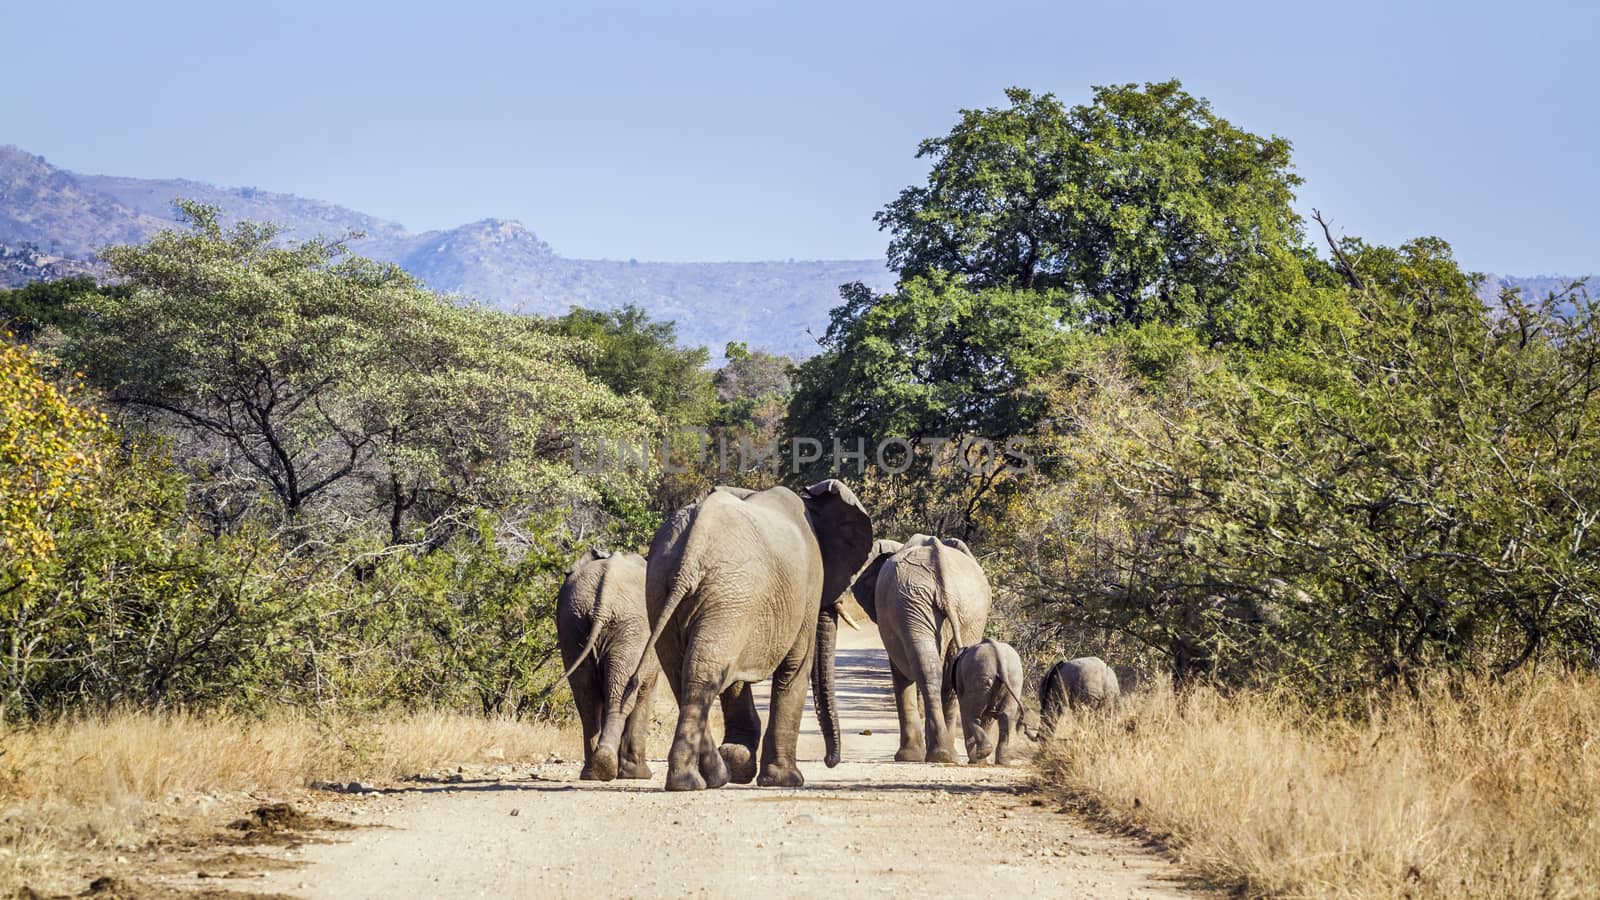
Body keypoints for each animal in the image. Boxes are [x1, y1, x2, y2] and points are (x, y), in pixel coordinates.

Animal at [556, 547, 656, 778]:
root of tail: (603, 600)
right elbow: (646, 690)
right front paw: (639, 775)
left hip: (573, 624)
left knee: (586, 697)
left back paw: (594, 771)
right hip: (630, 628)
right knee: (621, 694)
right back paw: (607, 767)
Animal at [604, 480, 870, 787]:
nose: (829, 761)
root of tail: (691, 552)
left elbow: (737, 680)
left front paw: (741, 765)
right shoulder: (809, 583)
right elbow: (795, 668)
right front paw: (785, 780)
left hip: (669, 590)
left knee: (685, 673)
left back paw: (713, 776)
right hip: (728, 594)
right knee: (703, 674)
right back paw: (694, 781)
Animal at [851, 534, 985, 759]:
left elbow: (900, 673)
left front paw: (907, 757)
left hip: (921, 603)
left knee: (929, 670)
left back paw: (938, 754)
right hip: (954, 609)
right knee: (942, 673)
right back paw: (945, 755)